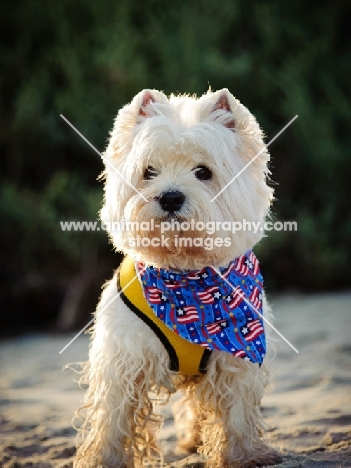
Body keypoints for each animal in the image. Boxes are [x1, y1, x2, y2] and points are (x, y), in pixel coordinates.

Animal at [74, 88, 284, 468]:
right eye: (149, 171)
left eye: (203, 172)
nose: (170, 197)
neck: (187, 280)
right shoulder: (123, 360)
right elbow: (113, 417)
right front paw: (103, 458)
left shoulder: (238, 359)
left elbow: (236, 414)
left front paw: (244, 455)